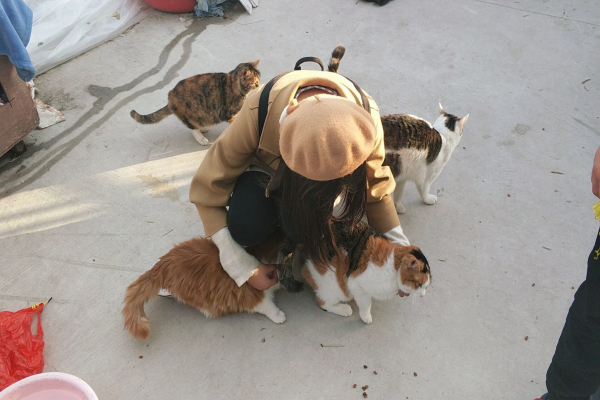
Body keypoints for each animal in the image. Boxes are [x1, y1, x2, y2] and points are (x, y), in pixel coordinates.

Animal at [130, 60, 260, 146]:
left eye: (259, 79)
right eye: (254, 83)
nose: (259, 85)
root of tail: (170, 98)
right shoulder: (228, 114)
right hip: (191, 113)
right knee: (192, 127)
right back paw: (201, 138)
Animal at [300, 220, 431, 324]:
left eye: (426, 287)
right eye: (419, 285)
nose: (423, 295)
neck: (394, 268)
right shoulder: (356, 284)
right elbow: (365, 304)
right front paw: (366, 317)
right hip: (334, 286)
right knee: (322, 302)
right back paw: (344, 309)